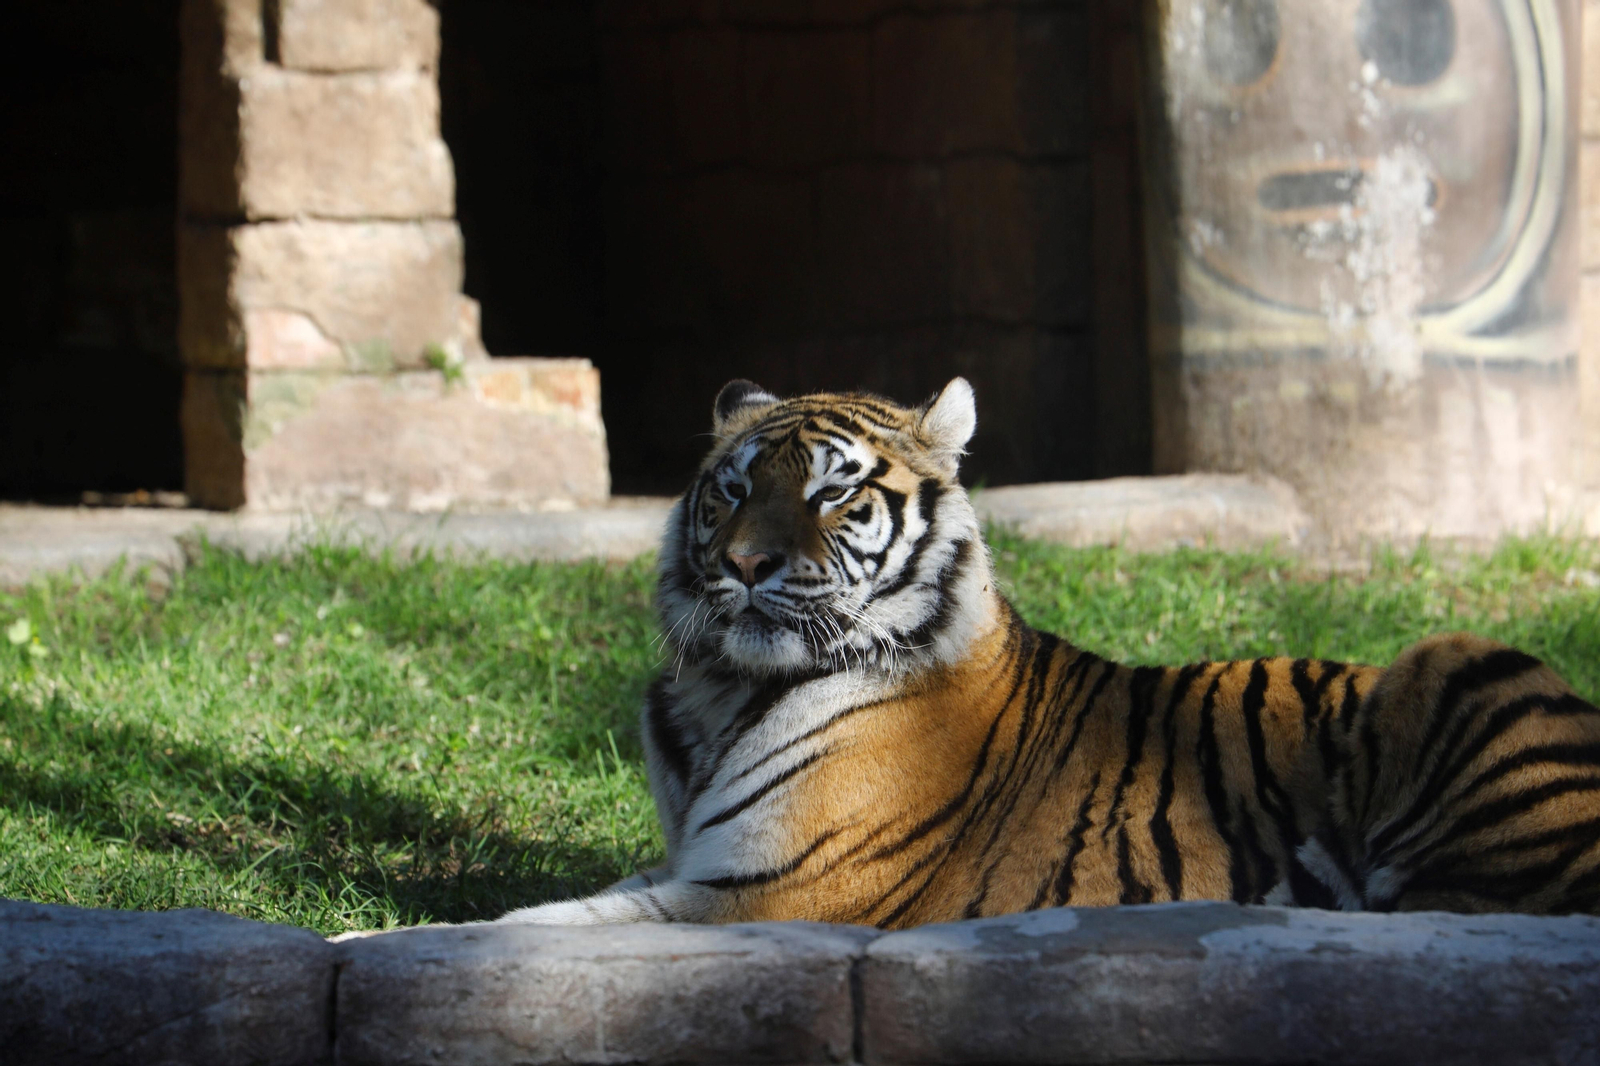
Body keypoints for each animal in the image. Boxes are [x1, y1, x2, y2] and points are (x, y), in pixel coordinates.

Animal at [500, 378, 1600, 928]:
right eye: (728, 491)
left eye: (831, 492)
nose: (741, 563)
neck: (723, 691)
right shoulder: (695, 864)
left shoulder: (776, 894)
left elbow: (529, 927)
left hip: (1459, 666)